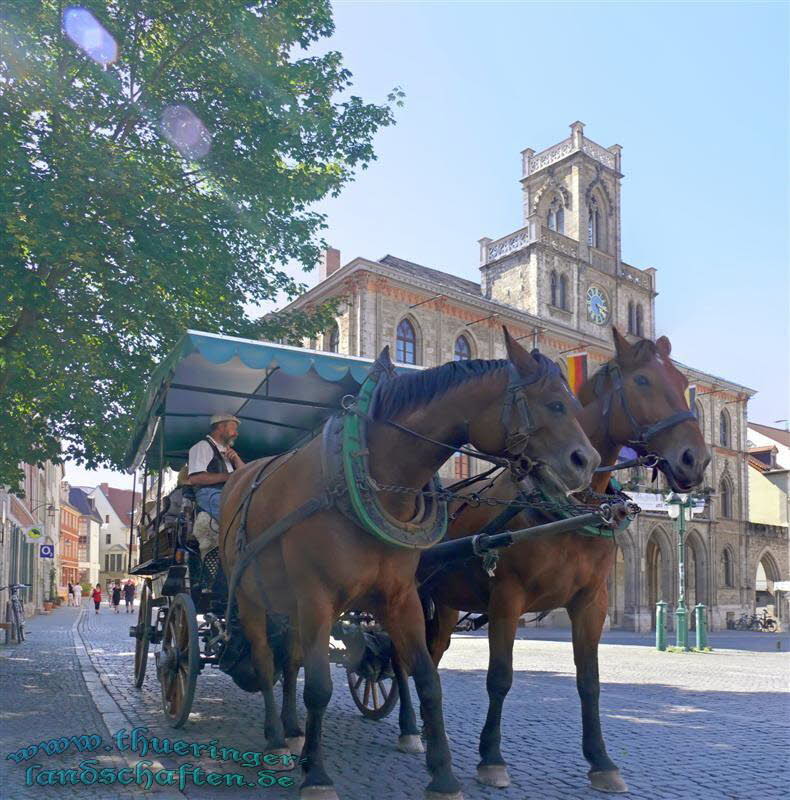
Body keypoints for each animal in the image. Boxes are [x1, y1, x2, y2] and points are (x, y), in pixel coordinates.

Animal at [217, 330, 600, 800]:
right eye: (554, 403)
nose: (587, 462)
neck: (367, 479)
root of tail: (237, 478)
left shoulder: (401, 598)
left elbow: (426, 678)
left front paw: (443, 775)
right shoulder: (317, 599)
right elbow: (320, 687)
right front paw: (318, 775)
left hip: (289, 605)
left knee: (289, 662)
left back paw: (292, 731)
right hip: (252, 598)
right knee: (265, 658)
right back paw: (275, 738)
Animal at [396, 330, 712, 792]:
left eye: (683, 382)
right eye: (643, 381)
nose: (696, 459)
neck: (568, 508)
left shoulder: (592, 602)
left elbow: (589, 682)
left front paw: (601, 761)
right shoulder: (506, 599)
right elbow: (500, 678)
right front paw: (491, 757)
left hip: (448, 601)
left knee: (431, 655)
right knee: (399, 657)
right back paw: (407, 728)